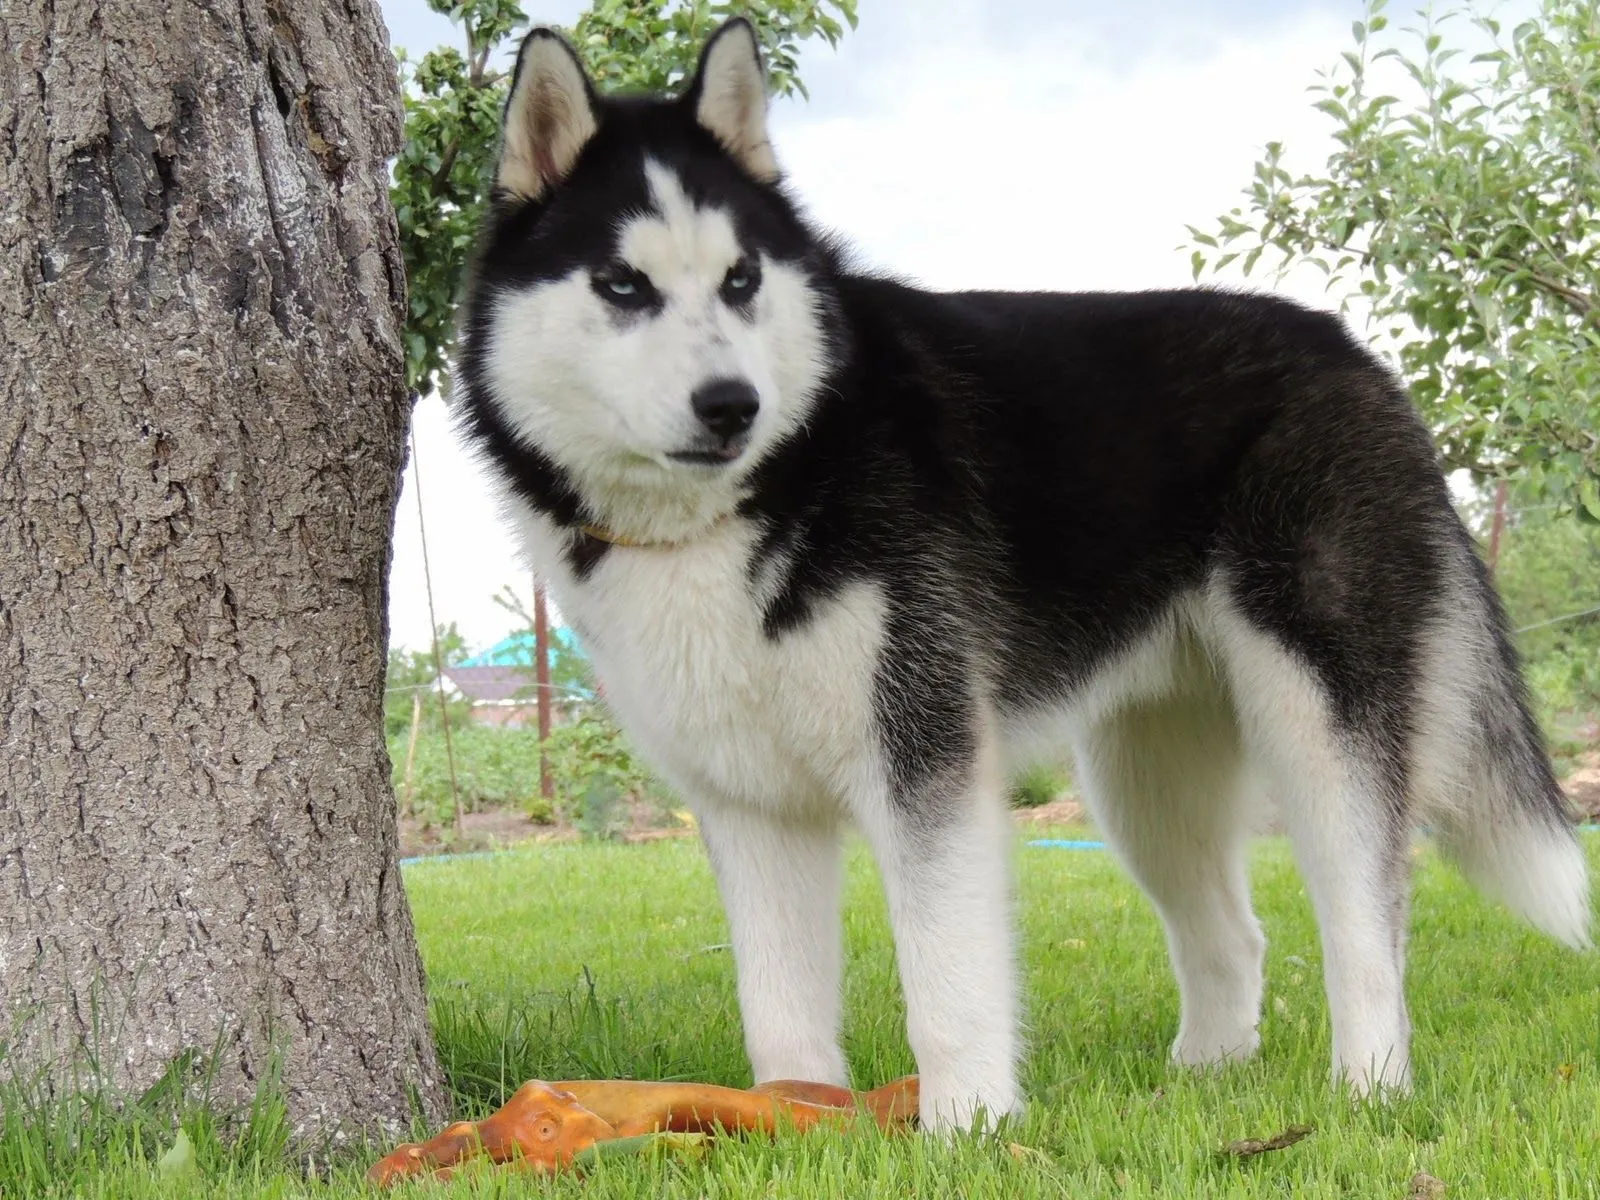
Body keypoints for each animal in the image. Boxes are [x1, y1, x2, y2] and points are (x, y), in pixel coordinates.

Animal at [457, 16, 1593, 1126]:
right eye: (622, 285)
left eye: (740, 281)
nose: (731, 404)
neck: (761, 492)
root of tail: (1353, 353)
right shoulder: (749, 804)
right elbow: (778, 1006)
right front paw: (790, 1115)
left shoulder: (924, 762)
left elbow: (948, 983)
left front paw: (968, 1128)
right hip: (1140, 776)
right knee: (1233, 933)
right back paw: (1201, 1084)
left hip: (1318, 721)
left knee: (1368, 926)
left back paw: (1367, 1089)